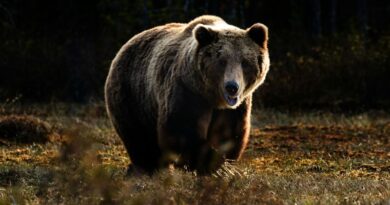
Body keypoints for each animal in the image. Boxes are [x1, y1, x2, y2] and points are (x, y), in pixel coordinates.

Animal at [105, 14, 270, 175]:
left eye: (244, 62)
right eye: (221, 61)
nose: (232, 87)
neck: (212, 97)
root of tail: (125, 46)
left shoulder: (236, 107)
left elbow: (229, 133)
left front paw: (224, 165)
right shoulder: (186, 92)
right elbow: (182, 130)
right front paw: (215, 166)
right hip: (133, 95)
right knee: (139, 138)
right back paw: (148, 168)